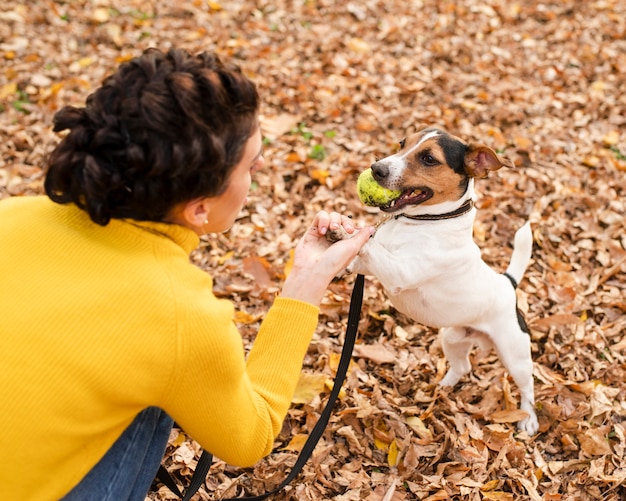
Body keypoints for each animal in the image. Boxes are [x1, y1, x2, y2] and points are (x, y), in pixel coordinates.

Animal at [342, 125, 536, 434]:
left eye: (429, 159)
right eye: (402, 143)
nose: (376, 168)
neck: (423, 222)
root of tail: (508, 283)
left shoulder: (400, 272)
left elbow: (371, 247)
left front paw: (343, 231)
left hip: (515, 353)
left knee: (528, 387)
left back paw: (529, 419)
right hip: (452, 338)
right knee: (463, 367)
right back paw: (442, 388)